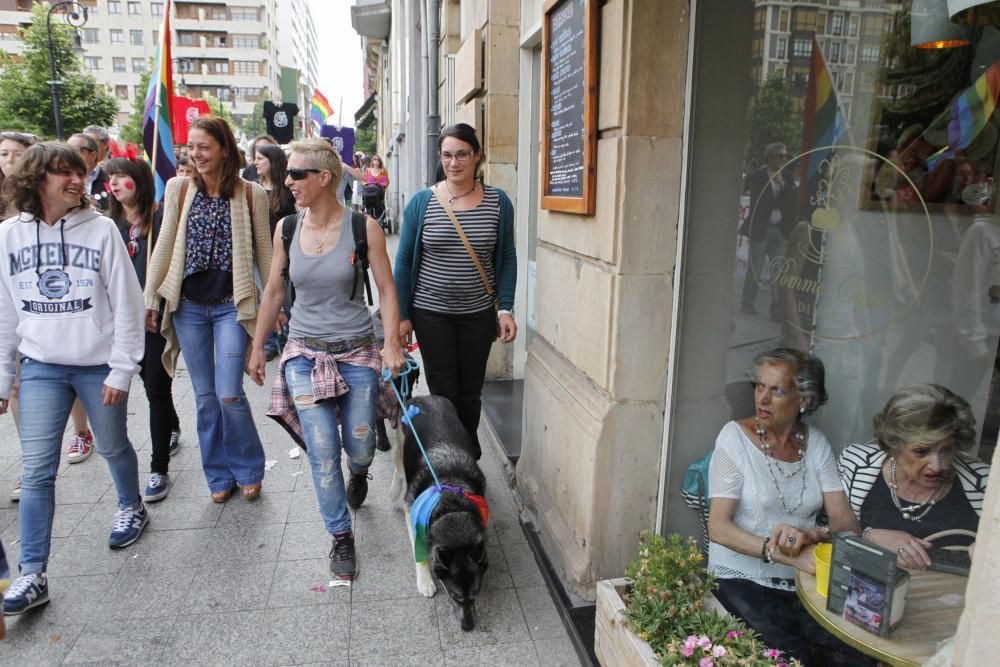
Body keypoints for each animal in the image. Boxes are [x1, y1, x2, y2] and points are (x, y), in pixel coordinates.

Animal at [388, 396, 490, 632]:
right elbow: (421, 556)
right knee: (398, 469)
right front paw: (425, 581)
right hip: (401, 446)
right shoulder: (412, 515)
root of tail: (424, 398)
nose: (468, 627)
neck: (452, 509)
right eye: (454, 596)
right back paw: (394, 490)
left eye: (476, 594)